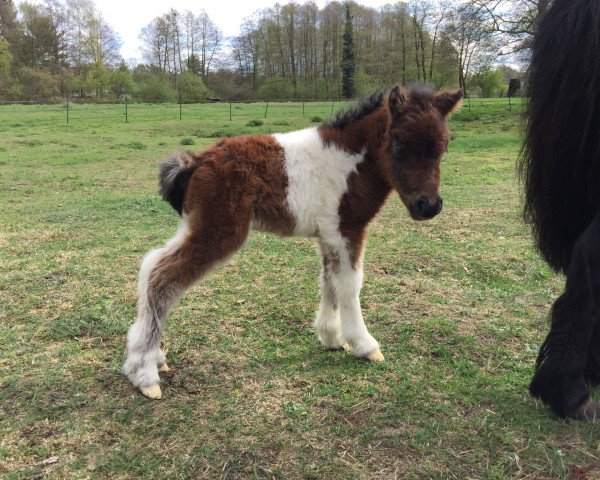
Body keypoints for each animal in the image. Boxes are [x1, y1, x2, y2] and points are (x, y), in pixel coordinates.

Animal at [123, 85, 464, 398]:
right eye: (399, 143)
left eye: (444, 146)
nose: (428, 206)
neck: (349, 162)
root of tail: (196, 160)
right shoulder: (348, 230)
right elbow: (351, 284)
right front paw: (365, 345)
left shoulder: (328, 235)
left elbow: (330, 281)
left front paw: (331, 337)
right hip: (218, 231)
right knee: (162, 279)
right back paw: (145, 375)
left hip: (198, 227)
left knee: (151, 265)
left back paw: (154, 358)